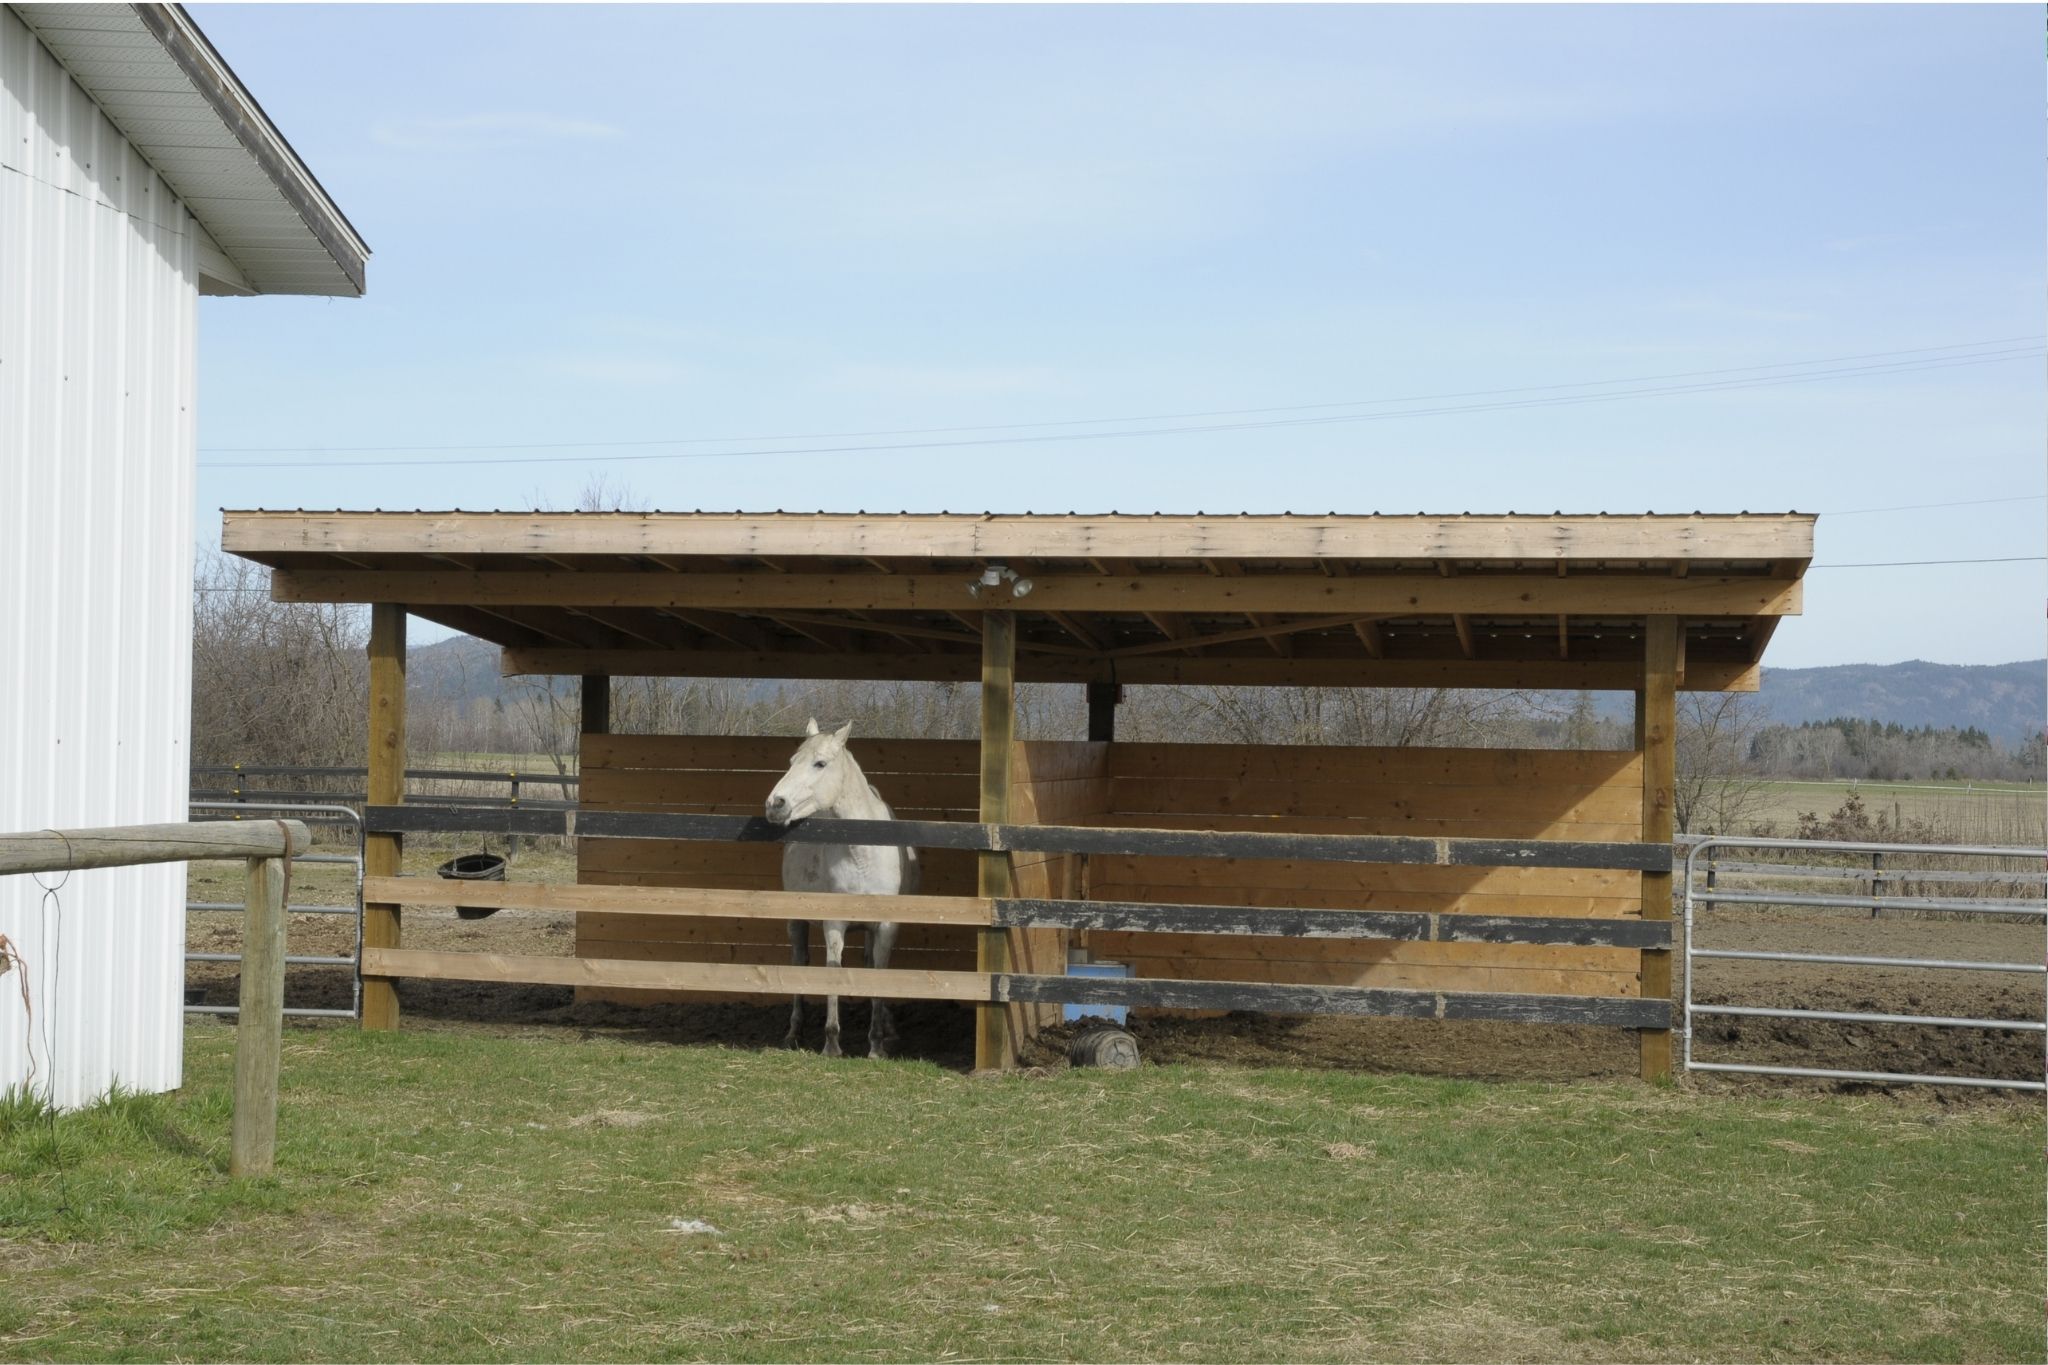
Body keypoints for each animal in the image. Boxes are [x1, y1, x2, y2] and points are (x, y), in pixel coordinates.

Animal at [764, 718, 919, 1057]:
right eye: (792, 762)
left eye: (820, 763)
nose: (775, 805)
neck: (864, 851)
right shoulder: (834, 922)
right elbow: (832, 972)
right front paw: (832, 1043)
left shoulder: (886, 925)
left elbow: (879, 974)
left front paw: (876, 1045)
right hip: (796, 921)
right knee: (800, 961)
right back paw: (794, 1033)